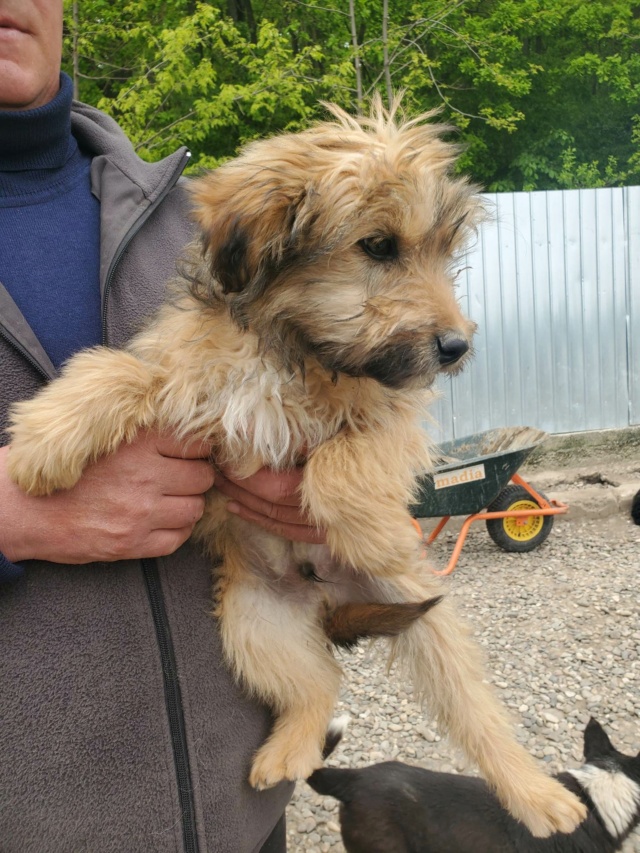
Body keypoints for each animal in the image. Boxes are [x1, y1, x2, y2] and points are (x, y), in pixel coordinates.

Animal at [7, 101, 584, 840]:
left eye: (441, 252)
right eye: (378, 246)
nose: (456, 347)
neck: (295, 347)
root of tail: (326, 602)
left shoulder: (396, 415)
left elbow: (337, 462)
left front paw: (371, 531)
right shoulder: (193, 384)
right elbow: (121, 370)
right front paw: (43, 440)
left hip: (428, 624)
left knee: (477, 714)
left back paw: (537, 794)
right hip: (256, 625)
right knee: (318, 686)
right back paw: (288, 749)